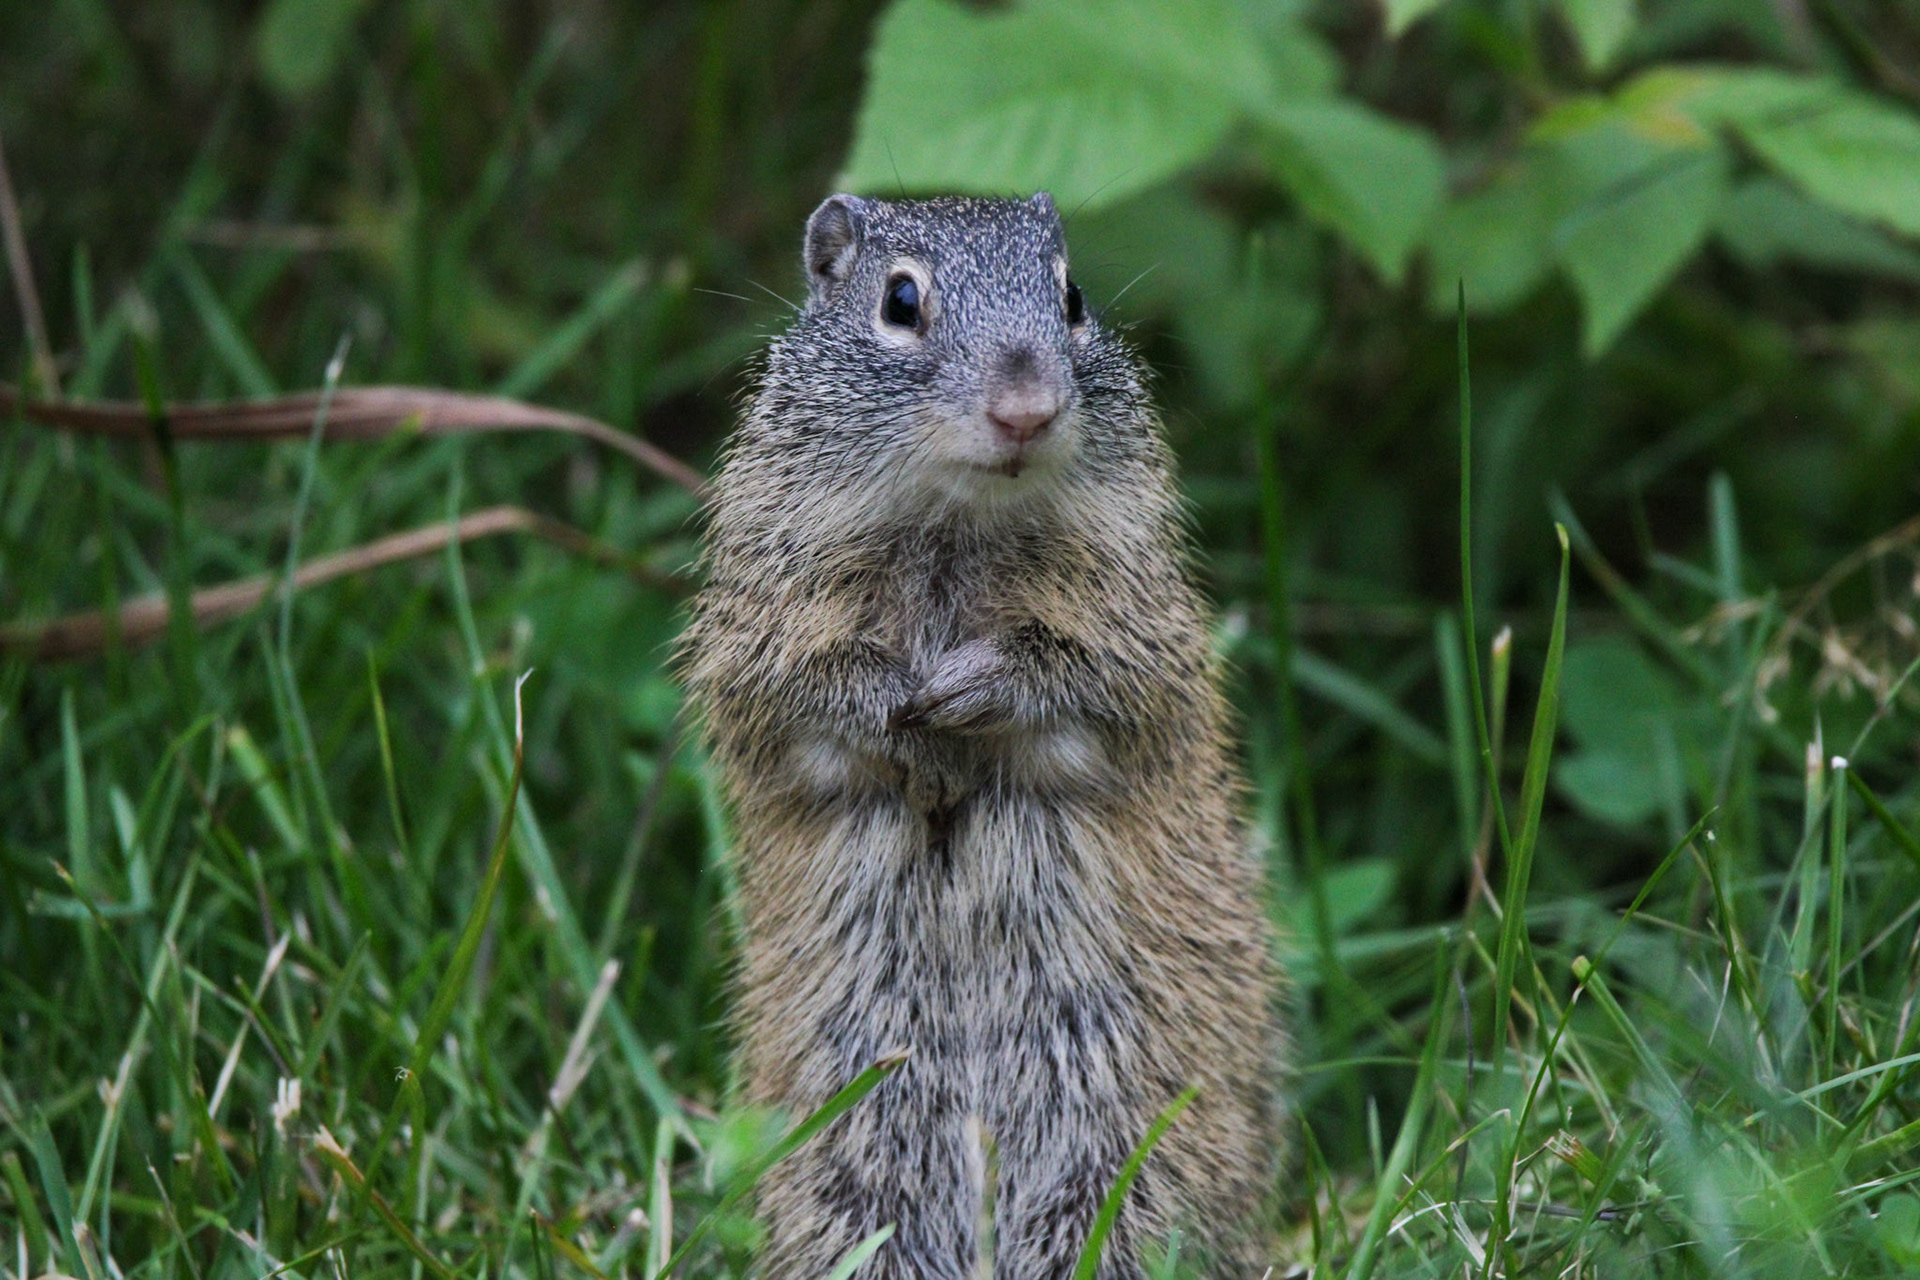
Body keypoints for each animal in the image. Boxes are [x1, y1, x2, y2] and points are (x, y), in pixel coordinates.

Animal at [680, 193, 1284, 1279]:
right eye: (900, 300)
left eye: (1072, 297)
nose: (1027, 409)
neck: (953, 525)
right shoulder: (764, 642)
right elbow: (812, 693)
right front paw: (904, 712)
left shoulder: (1136, 637)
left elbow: (1082, 680)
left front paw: (972, 687)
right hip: (853, 1155)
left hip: (1126, 1149)